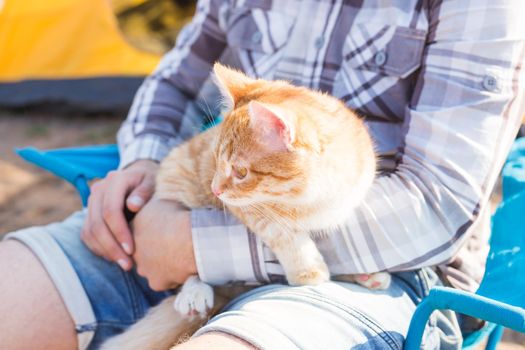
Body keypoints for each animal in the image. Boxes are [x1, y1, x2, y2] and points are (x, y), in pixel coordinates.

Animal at [102, 63, 388, 350]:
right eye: (216, 160)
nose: (215, 189)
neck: (308, 199)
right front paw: (307, 270)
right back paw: (194, 291)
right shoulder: (249, 209)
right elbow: (284, 234)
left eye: (241, 172)